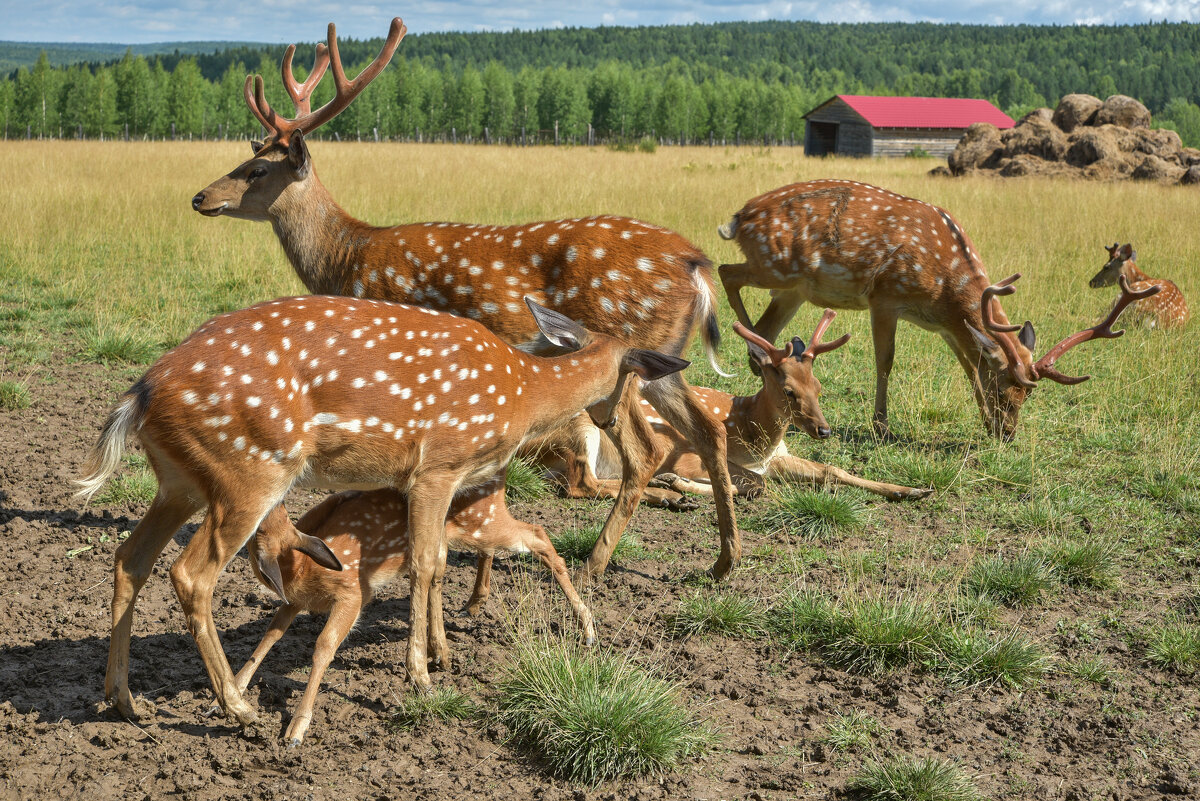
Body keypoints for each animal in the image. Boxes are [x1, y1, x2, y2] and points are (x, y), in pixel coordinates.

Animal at [188, 17, 744, 582]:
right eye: (246, 158)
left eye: (257, 171)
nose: (200, 197)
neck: (345, 259)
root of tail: (697, 265)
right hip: (666, 354)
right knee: (707, 432)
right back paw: (723, 561)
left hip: (623, 347)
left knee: (646, 449)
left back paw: (596, 560)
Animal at [236, 474, 583, 743]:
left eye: (260, 525)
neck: (300, 569)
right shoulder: (293, 601)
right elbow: (269, 635)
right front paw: (235, 691)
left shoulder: (352, 593)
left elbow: (323, 647)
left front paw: (296, 728)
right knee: (446, 571)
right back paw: (453, 635)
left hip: (483, 521)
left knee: (538, 534)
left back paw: (586, 627)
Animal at [715, 178, 1156, 441]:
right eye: (1003, 390)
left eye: (1027, 396)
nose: (1008, 433)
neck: (945, 289)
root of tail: (738, 217)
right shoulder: (884, 297)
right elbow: (885, 361)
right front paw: (881, 426)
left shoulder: (947, 325)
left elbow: (968, 366)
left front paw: (982, 420)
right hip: (774, 264)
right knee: (725, 272)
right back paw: (751, 351)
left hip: (795, 288)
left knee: (766, 324)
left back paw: (761, 357)